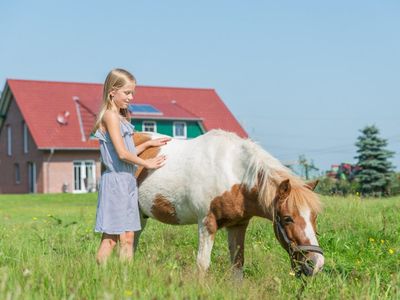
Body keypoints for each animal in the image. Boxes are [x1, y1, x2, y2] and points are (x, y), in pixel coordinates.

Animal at [133, 130, 324, 278]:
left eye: (314, 217)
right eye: (287, 218)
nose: (317, 263)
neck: (232, 173)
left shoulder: (238, 225)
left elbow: (238, 264)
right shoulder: (207, 224)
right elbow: (203, 264)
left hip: (140, 216)